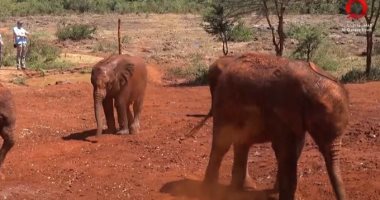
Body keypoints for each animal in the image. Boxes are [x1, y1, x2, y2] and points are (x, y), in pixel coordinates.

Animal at [203, 52, 348, 200]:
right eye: (318, 127)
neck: (310, 80)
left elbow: (296, 148)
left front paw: (276, 192)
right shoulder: (281, 110)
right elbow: (286, 150)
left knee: (242, 143)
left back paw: (240, 190)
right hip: (223, 104)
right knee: (222, 144)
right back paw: (210, 191)